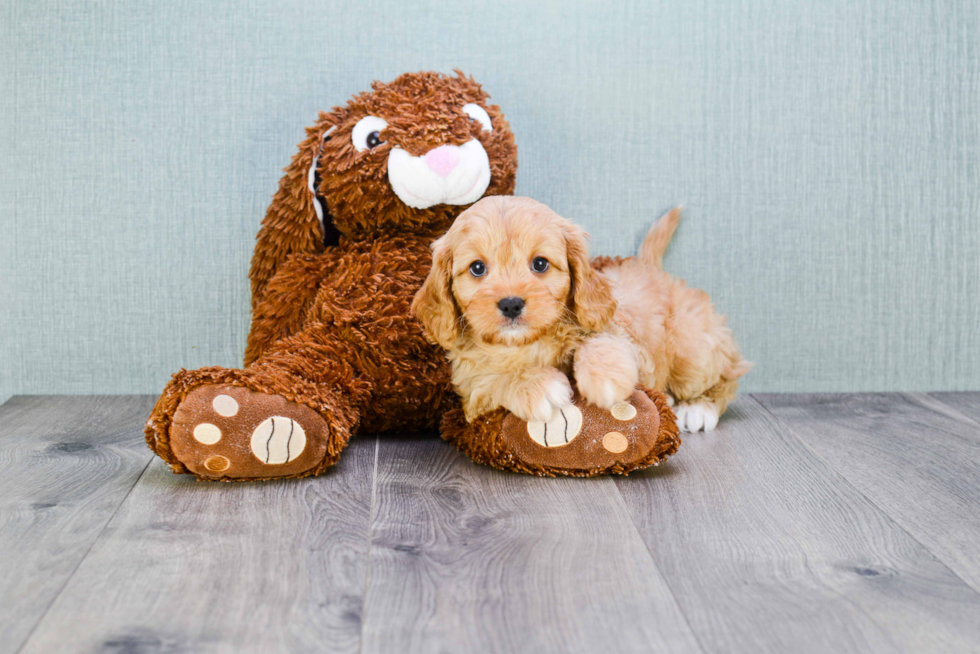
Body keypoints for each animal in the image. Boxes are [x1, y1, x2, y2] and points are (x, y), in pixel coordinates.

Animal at [412, 196, 752, 430]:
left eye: (540, 264)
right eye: (477, 268)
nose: (511, 304)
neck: (527, 344)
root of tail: (650, 267)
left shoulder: (617, 329)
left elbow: (600, 340)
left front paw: (605, 376)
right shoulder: (470, 390)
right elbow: (492, 379)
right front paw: (537, 385)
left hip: (693, 351)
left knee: (728, 374)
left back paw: (698, 409)